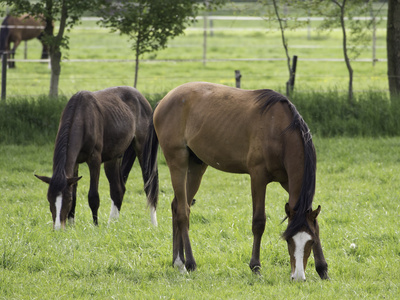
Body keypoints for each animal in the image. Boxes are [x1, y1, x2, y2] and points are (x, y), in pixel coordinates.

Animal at [34, 86, 159, 230]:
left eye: (67, 199)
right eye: (49, 198)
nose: (59, 228)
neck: (81, 117)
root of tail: (142, 98)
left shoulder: (94, 160)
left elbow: (93, 196)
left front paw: (95, 226)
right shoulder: (75, 163)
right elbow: (76, 194)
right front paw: (71, 225)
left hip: (143, 150)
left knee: (149, 186)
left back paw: (154, 224)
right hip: (113, 158)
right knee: (118, 189)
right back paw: (112, 224)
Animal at [150, 81, 328, 282]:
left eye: (310, 242)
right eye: (288, 240)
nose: (298, 276)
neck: (279, 129)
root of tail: (165, 100)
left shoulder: (287, 182)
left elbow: (315, 224)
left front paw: (322, 268)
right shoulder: (258, 178)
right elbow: (259, 222)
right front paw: (255, 266)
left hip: (196, 166)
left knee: (178, 205)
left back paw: (177, 260)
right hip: (177, 161)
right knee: (182, 212)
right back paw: (187, 263)